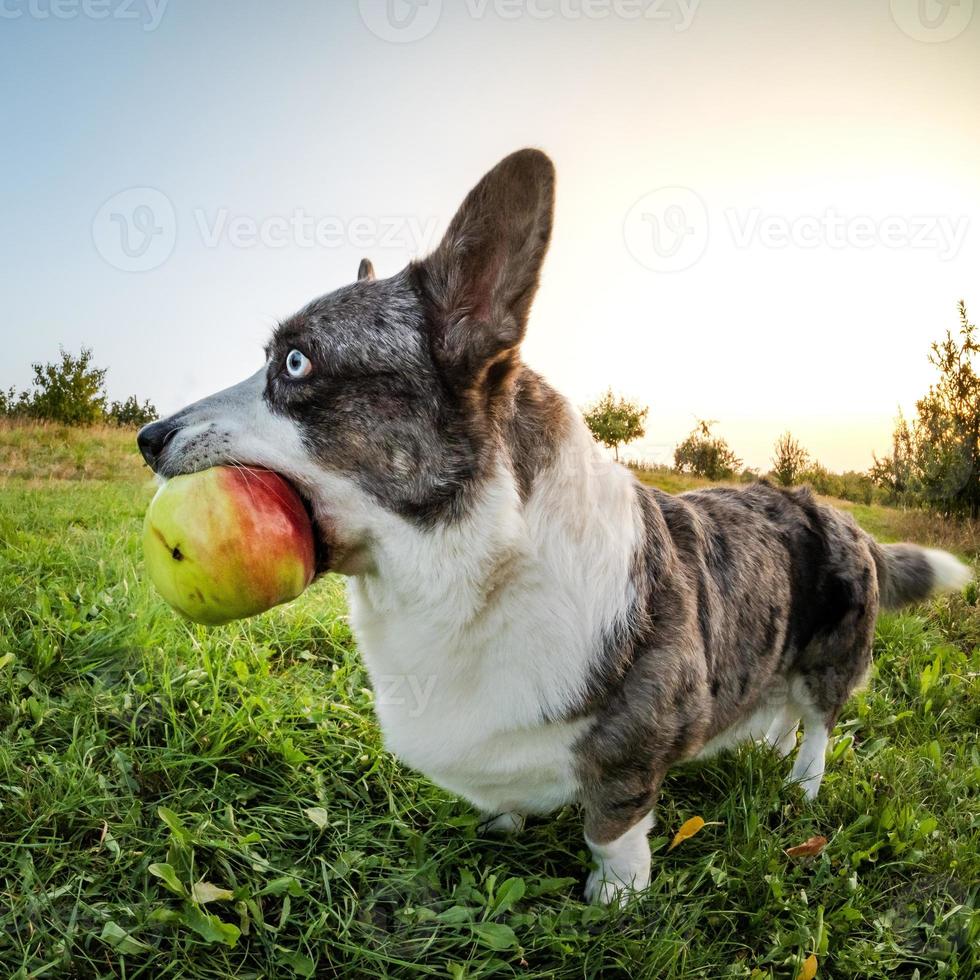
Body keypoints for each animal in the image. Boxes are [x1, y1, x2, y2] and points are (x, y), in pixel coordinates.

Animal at [138, 149, 972, 908]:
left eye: (297, 363)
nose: (148, 437)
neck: (470, 559)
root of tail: (843, 516)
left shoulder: (631, 753)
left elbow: (613, 827)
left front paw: (617, 896)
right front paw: (504, 822)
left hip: (834, 656)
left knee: (821, 722)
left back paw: (800, 783)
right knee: (783, 710)